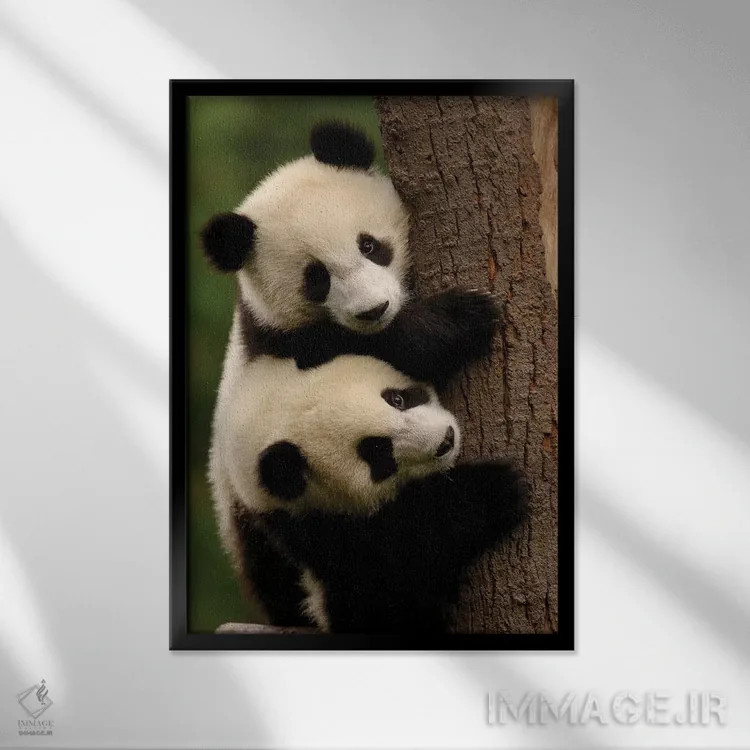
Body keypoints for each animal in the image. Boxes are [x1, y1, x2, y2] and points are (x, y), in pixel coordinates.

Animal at [212, 354, 527, 633]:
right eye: (379, 454)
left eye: (397, 399)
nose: (446, 441)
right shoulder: (314, 530)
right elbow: (391, 561)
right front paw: (492, 489)